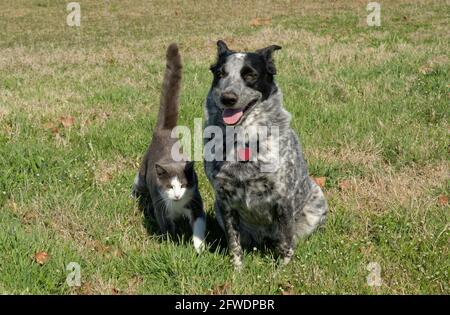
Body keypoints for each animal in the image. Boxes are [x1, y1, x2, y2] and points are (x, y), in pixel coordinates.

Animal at [132, 43, 206, 254]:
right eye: (170, 186)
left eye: (183, 185)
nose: (177, 195)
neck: (178, 206)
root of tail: (164, 130)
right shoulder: (161, 207)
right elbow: (167, 228)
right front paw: (173, 246)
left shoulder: (195, 201)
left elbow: (199, 224)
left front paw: (199, 247)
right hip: (144, 172)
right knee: (138, 181)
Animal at [204, 40, 326, 270]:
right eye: (220, 74)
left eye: (250, 75)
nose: (227, 98)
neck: (243, 139)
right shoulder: (224, 200)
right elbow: (234, 243)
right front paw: (237, 270)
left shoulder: (283, 197)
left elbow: (286, 241)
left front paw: (282, 270)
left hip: (317, 199)